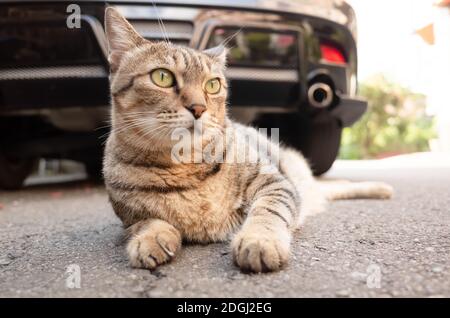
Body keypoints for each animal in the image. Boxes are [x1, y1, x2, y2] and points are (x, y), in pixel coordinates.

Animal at [103, 8, 394, 274]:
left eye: (213, 85)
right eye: (162, 77)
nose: (199, 108)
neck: (183, 167)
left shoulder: (275, 183)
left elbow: (268, 212)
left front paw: (259, 239)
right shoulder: (128, 218)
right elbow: (148, 222)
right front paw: (151, 238)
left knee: (334, 186)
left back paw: (380, 188)